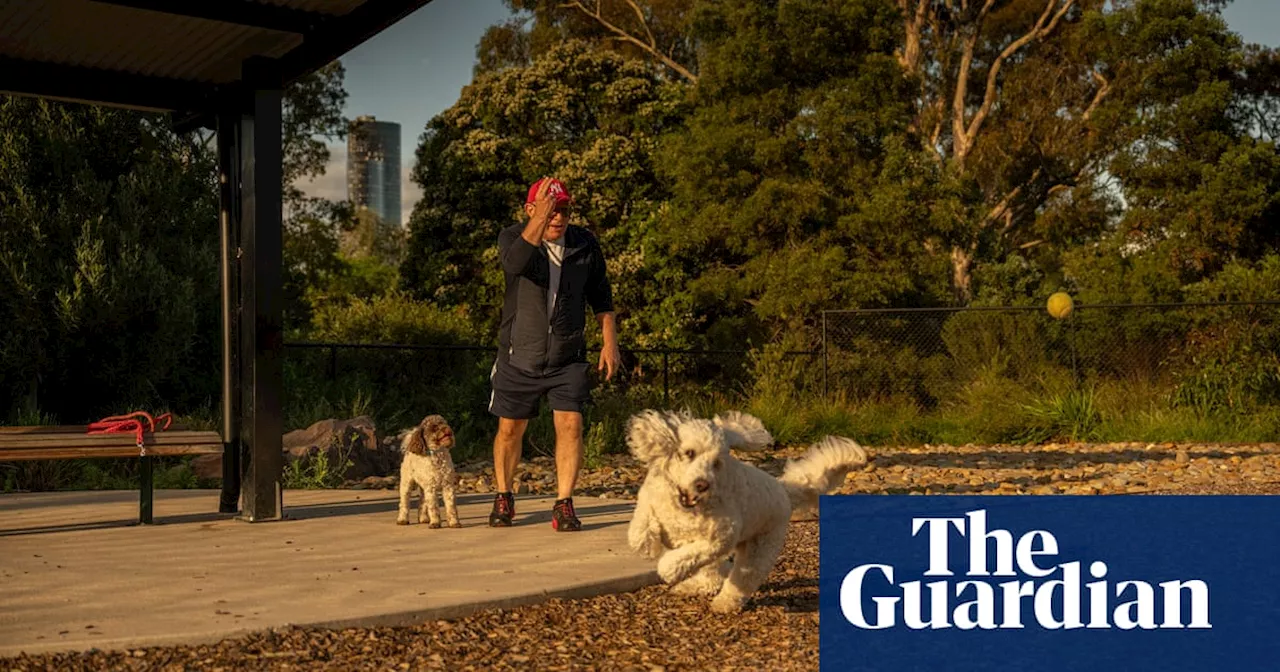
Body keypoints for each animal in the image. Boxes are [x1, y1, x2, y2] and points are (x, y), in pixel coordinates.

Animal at [627, 409, 870, 611]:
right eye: (689, 453)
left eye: (717, 463)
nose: (702, 484)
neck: (685, 506)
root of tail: (783, 489)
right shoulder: (650, 496)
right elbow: (640, 524)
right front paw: (645, 540)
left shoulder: (720, 538)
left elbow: (682, 557)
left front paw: (669, 568)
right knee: (713, 575)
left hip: (759, 548)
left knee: (741, 579)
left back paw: (724, 604)